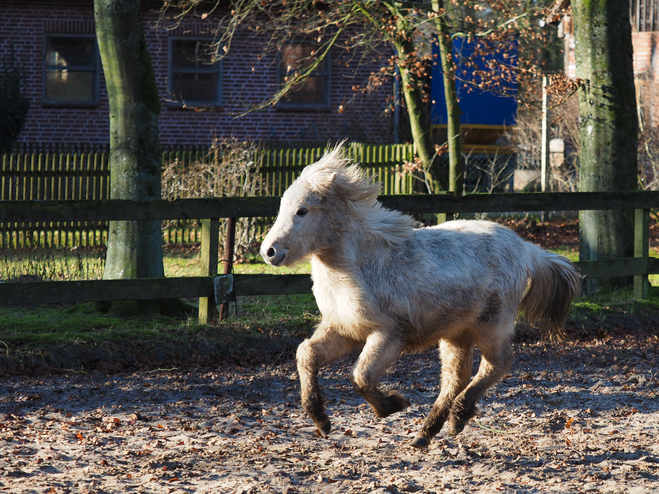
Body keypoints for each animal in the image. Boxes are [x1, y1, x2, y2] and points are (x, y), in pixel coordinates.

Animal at [260, 145, 580, 450]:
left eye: (302, 210)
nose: (269, 252)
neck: (361, 266)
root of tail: (526, 249)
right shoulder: (344, 330)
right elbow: (307, 353)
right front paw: (321, 420)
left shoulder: (389, 334)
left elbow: (361, 376)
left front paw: (393, 405)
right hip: (456, 333)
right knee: (455, 377)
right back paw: (429, 432)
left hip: (492, 325)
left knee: (496, 365)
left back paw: (458, 416)